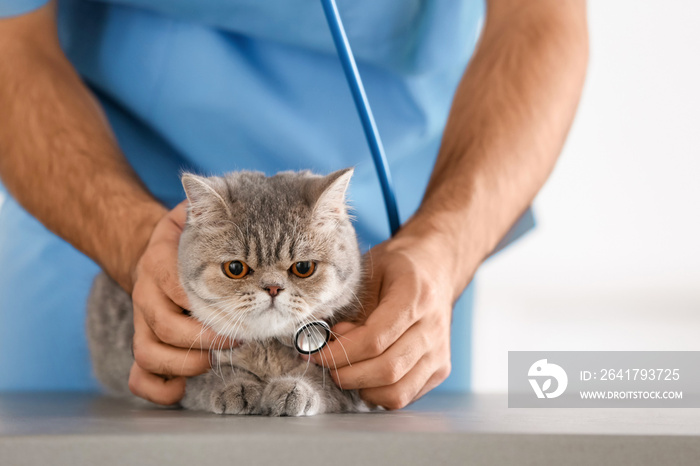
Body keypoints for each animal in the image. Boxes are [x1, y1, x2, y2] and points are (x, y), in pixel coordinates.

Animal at [86, 168, 372, 416]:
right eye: (235, 268)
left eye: (303, 267)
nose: (273, 287)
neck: (265, 349)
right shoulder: (182, 377)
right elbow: (208, 376)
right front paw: (237, 386)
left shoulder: (348, 385)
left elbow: (322, 379)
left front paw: (293, 388)